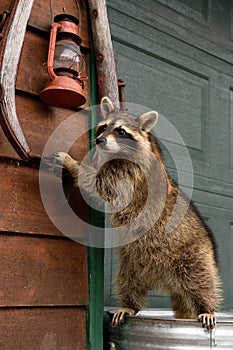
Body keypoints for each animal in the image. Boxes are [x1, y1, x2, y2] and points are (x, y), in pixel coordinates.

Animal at [49, 96, 222, 330]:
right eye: (103, 127)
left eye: (121, 131)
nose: (100, 141)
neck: (117, 153)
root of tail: (166, 282)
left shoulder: (128, 173)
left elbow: (100, 186)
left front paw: (72, 163)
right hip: (132, 262)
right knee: (128, 282)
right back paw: (130, 305)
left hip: (193, 256)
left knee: (201, 281)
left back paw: (206, 307)